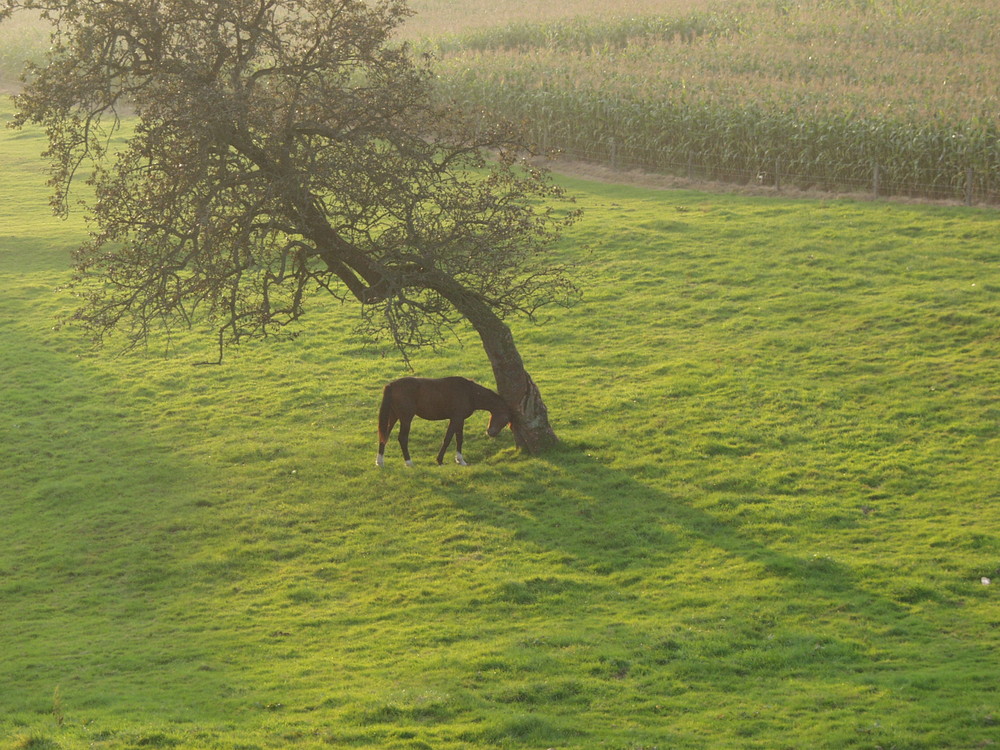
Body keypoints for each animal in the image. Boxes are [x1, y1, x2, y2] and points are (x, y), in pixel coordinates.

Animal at [376, 378, 512, 468]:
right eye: (506, 418)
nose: (490, 433)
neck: (469, 392)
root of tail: (391, 385)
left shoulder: (460, 420)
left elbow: (459, 439)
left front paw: (460, 460)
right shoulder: (456, 418)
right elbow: (448, 439)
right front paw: (440, 460)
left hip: (393, 416)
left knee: (384, 436)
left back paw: (380, 461)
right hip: (406, 418)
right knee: (402, 438)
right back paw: (409, 462)